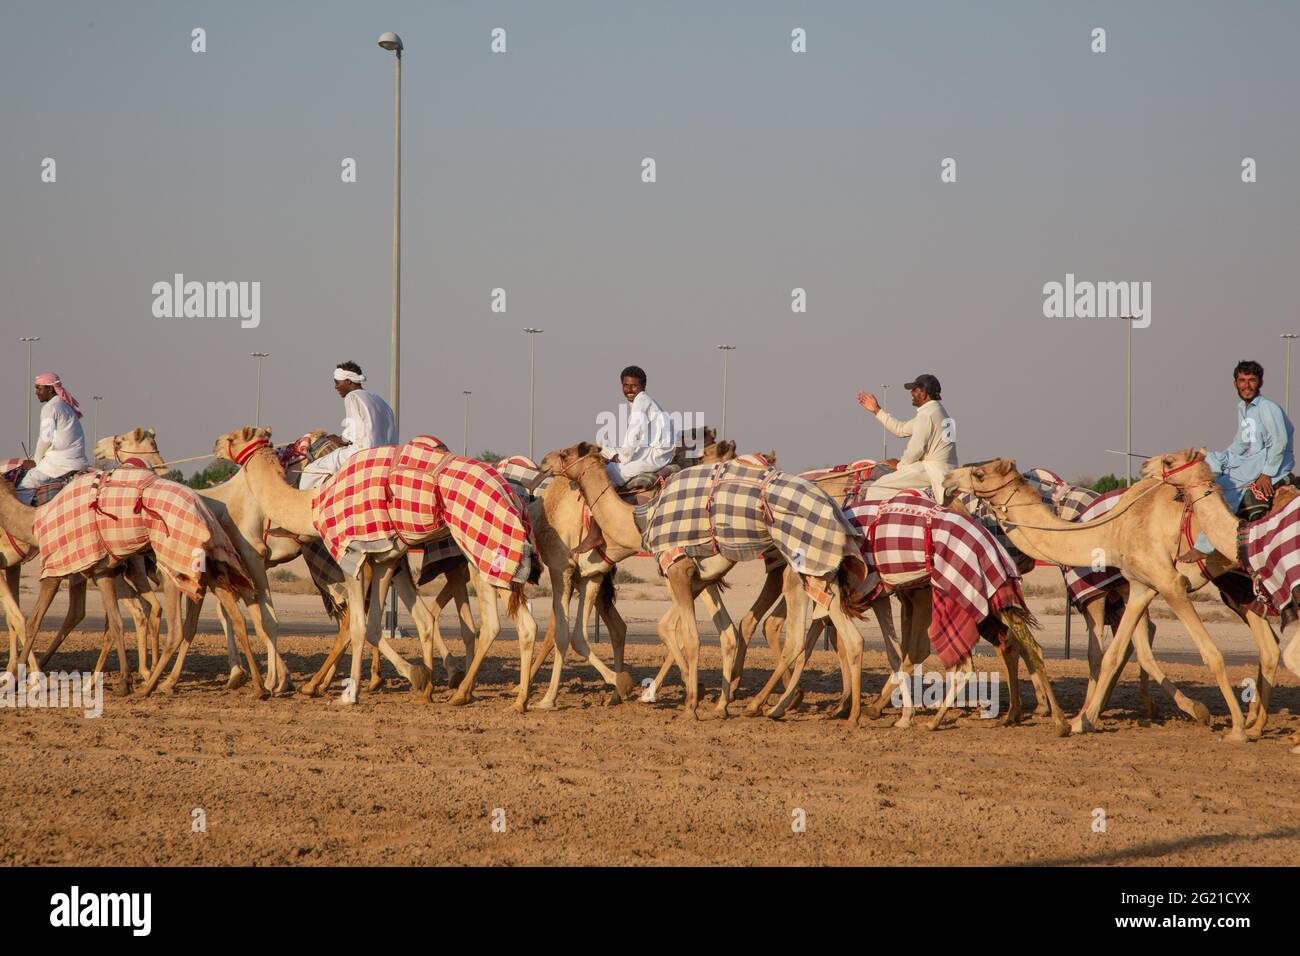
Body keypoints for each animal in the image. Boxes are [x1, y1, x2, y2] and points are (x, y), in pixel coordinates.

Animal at [214, 426, 538, 712]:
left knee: (498, 623)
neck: (313, 504)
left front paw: (347, 695)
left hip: (485, 547)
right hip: (484, 556)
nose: (216, 442)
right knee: (512, 624)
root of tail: (512, 493)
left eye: (233, 437)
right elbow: (371, 626)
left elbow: (355, 626)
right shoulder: (384, 558)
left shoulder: (350, 555)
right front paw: (418, 678)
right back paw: (503, 698)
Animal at [946, 460, 1279, 743]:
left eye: (979, 474)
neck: (1110, 530)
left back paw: (1249, 724)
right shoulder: (1139, 587)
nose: (949, 480)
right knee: (1269, 645)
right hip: (1236, 582)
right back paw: (1255, 721)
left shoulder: (1157, 585)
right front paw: (1084, 718)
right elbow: (1118, 654)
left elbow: (1205, 653)